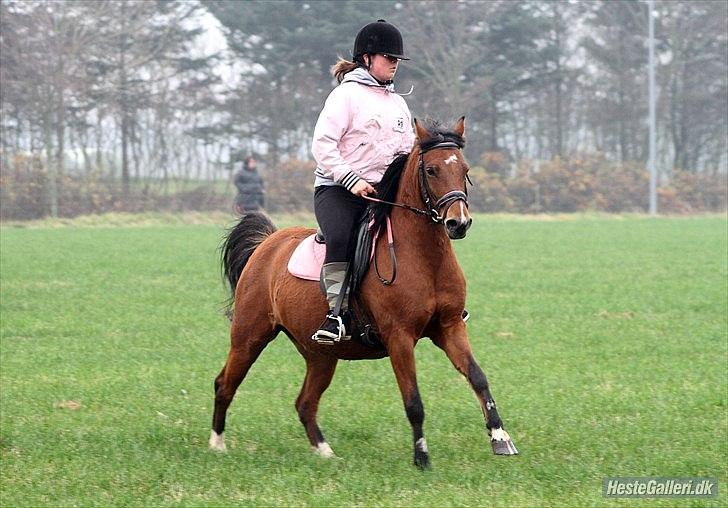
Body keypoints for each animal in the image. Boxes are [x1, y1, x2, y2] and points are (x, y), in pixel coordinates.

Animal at [210, 118, 516, 468]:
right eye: (432, 170)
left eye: (464, 169)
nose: (458, 223)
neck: (425, 260)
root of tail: (267, 243)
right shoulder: (399, 337)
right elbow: (413, 400)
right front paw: (421, 457)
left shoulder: (449, 327)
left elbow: (478, 377)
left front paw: (501, 439)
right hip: (250, 336)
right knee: (225, 384)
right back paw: (217, 444)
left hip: (320, 355)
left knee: (305, 402)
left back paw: (325, 452)